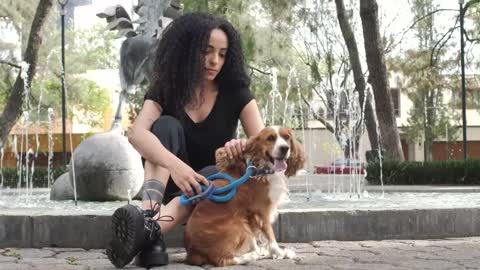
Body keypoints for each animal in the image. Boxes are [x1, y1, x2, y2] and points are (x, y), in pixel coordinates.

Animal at [183, 126, 304, 266]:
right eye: (270, 138)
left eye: (287, 137)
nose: (285, 148)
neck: (262, 167)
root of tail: (193, 253)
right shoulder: (261, 210)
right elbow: (270, 235)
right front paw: (280, 253)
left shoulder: (251, 215)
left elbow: (256, 239)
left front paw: (267, 252)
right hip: (238, 224)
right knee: (223, 259)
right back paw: (251, 256)